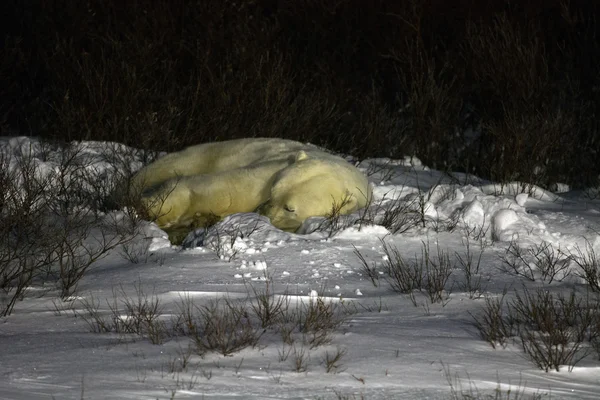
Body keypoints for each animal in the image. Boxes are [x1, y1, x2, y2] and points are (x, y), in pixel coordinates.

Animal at [132, 139, 370, 234]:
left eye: (290, 208)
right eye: (273, 189)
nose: (261, 212)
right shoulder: (269, 171)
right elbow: (229, 187)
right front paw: (158, 210)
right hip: (201, 154)